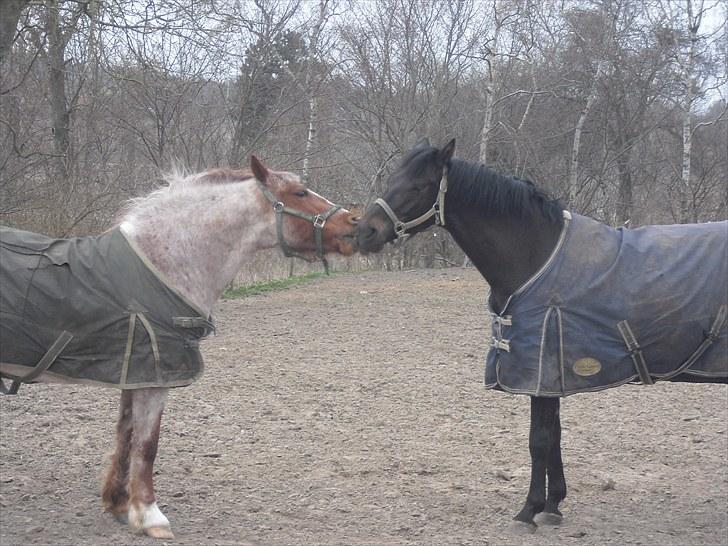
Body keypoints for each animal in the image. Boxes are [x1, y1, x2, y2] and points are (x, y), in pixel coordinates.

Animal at [0, 155, 358, 539]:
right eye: (299, 192)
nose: (354, 222)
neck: (165, 263)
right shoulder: (155, 379)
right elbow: (147, 444)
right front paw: (150, 515)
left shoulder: (136, 373)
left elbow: (126, 434)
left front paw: (119, 503)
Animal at [355, 137, 727, 531]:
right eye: (392, 178)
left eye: (419, 186)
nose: (365, 232)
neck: (536, 256)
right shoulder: (551, 376)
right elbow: (555, 437)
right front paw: (553, 505)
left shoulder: (542, 367)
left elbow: (539, 440)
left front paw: (529, 510)